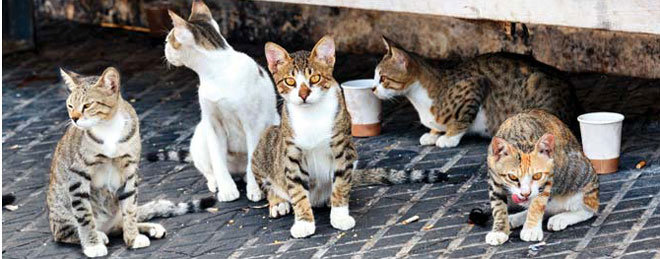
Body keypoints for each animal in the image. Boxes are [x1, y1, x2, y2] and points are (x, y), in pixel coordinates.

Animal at [47, 68, 215, 258]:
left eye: (87, 105)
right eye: (70, 106)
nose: (74, 118)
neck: (108, 128)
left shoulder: (129, 171)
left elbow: (130, 209)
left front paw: (133, 238)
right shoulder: (78, 175)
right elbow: (84, 216)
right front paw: (92, 245)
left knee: (120, 224)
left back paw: (148, 228)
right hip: (61, 211)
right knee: (67, 231)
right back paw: (99, 235)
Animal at [165, 0, 282, 203]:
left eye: (169, 40)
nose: (164, 47)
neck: (216, 71)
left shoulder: (253, 124)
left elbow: (253, 158)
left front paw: (254, 190)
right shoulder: (213, 123)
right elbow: (217, 161)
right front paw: (227, 190)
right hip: (201, 135)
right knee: (209, 169)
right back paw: (215, 182)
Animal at [372, 37, 576, 149]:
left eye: (382, 78)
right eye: (374, 77)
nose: (373, 88)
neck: (419, 98)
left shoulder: (475, 85)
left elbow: (462, 118)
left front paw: (449, 137)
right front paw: (433, 132)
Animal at [484, 109, 600, 246]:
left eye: (537, 176)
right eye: (512, 177)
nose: (525, 193)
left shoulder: (548, 176)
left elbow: (537, 203)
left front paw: (531, 229)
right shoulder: (493, 178)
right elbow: (498, 205)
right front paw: (500, 230)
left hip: (581, 175)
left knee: (589, 209)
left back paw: (561, 218)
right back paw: (516, 218)